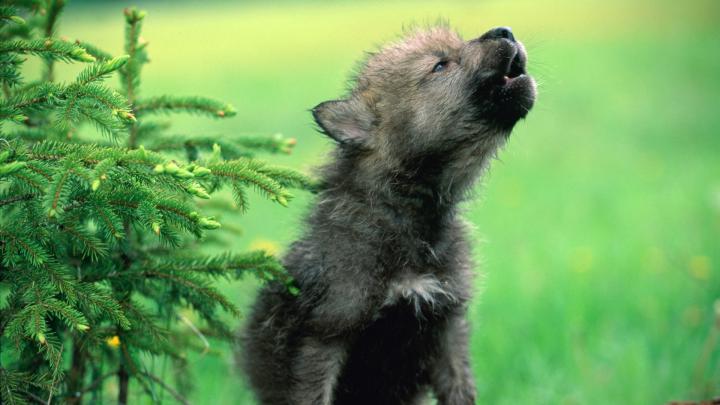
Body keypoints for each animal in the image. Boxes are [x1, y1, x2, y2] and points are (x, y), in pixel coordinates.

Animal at [240, 25, 536, 404]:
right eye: (440, 65)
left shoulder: (447, 326)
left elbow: (461, 391)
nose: (505, 30)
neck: (409, 217)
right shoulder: (324, 335)